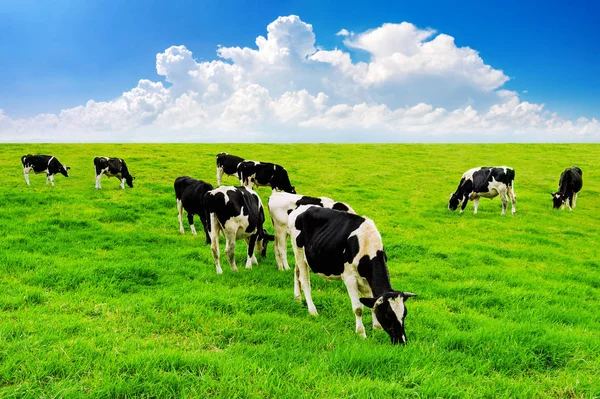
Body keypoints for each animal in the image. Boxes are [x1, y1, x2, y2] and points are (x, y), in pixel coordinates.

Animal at [288, 206, 414, 344]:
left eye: (404, 314)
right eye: (388, 315)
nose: (402, 341)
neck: (367, 245)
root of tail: (302, 207)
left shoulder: (368, 281)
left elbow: (372, 303)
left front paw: (377, 329)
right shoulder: (349, 278)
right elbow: (358, 308)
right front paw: (361, 333)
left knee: (296, 272)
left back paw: (297, 298)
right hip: (299, 251)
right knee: (305, 281)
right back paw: (312, 310)